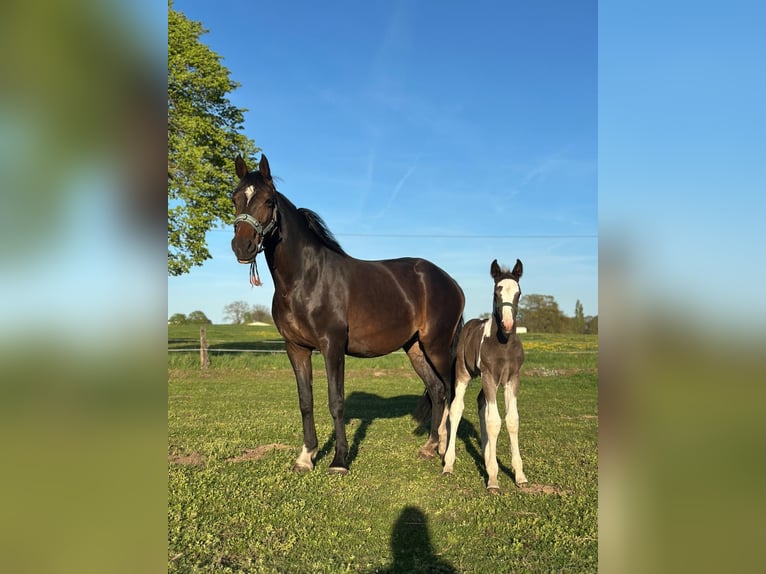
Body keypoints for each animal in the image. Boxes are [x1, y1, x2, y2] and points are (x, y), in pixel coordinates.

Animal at [229, 154, 465, 474]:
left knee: (451, 392)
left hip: (437, 346)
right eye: (235, 198)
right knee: (438, 390)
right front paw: (305, 457)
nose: (243, 246)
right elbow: (305, 401)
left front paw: (339, 460)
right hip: (416, 348)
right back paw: (430, 447)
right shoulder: (296, 348)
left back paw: (445, 453)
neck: (306, 279)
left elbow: (336, 401)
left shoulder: (332, 346)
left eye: (268, 200)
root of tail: (450, 281)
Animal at [442, 258, 527, 492]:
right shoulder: (489, 375)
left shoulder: (511, 378)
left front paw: (519, 475)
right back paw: (448, 463)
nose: (507, 324)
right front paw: (493, 479)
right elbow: (494, 421)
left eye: (518, 293)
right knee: (456, 409)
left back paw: (487, 455)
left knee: (481, 403)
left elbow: (512, 420)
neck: (503, 344)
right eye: (496, 291)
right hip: (464, 374)